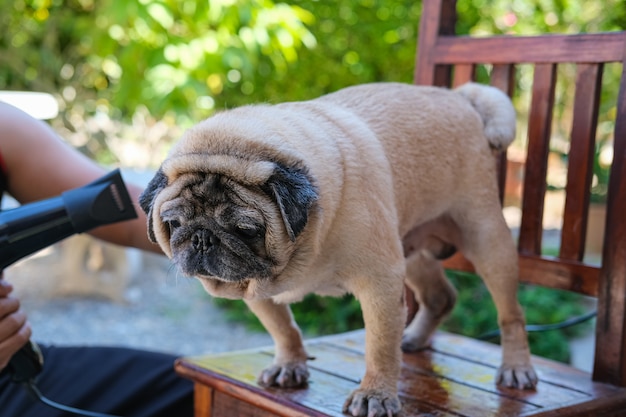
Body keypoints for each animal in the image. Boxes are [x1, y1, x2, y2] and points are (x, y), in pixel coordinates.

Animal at [140, 82, 536, 416]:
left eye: (246, 229)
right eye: (174, 223)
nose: (202, 238)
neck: (303, 249)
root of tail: (461, 97)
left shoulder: (380, 283)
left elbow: (379, 345)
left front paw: (375, 394)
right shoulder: (254, 286)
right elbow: (282, 327)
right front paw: (289, 364)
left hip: (485, 236)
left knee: (510, 312)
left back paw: (516, 367)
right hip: (409, 247)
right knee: (441, 296)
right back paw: (415, 338)